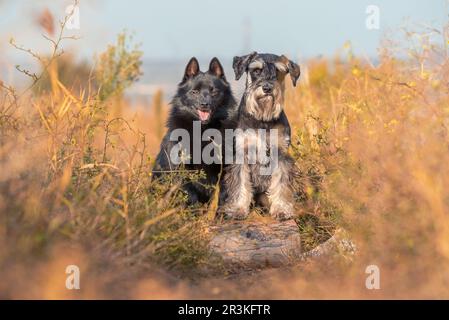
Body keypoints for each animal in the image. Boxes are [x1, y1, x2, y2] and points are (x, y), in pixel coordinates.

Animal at [152, 56, 236, 204]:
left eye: (214, 91)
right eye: (194, 92)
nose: (204, 105)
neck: (203, 130)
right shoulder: (182, 169)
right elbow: (190, 195)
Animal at [218, 51, 300, 221]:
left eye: (278, 71)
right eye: (256, 70)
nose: (267, 88)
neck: (262, 119)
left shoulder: (281, 154)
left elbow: (281, 182)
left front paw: (281, 209)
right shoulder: (242, 153)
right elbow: (240, 182)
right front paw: (238, 209)